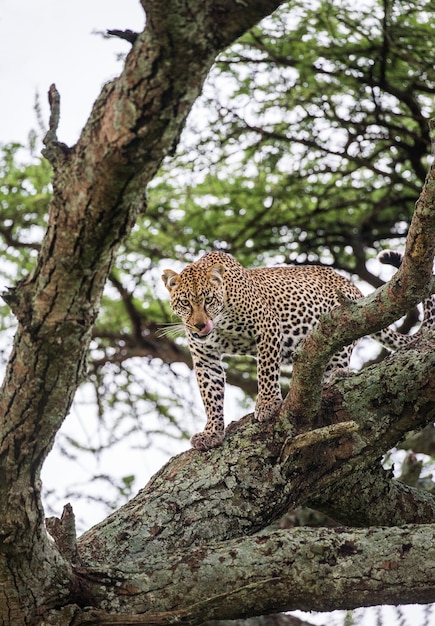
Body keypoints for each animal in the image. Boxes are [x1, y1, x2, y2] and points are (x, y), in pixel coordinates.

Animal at [163, 249, 430, 448]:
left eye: (208, 300)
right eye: (185, 303)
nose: (199, 325)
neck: (221, 323)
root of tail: (354, 288)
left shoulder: (267, 327)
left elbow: (266, 371)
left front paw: (267, 405)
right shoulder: (205, 357)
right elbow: (211, 395)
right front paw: (212, 432)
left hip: (340, 324)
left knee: (337, 360)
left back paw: (337, 376)